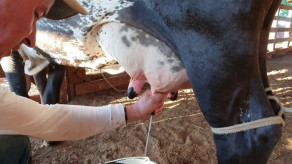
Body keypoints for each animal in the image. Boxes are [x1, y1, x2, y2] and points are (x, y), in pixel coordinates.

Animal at [1, 0, 286, 163]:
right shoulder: (53, 54)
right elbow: (46, 86)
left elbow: (19, 88)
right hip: (257, 41)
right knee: (273, 112)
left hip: (210, 46)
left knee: (250, 133)